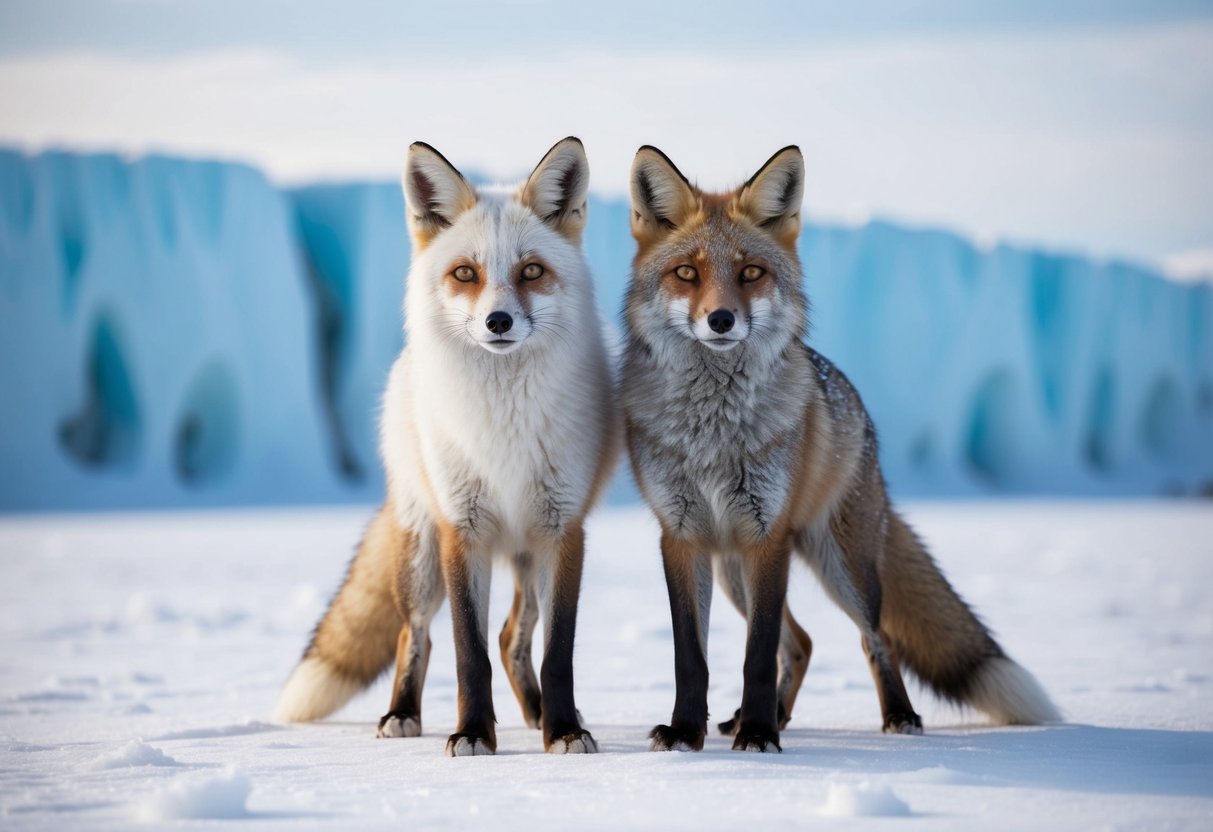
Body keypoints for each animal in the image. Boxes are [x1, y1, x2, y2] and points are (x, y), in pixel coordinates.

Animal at [273, 137, 617, 756]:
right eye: (465, 273)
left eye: (532, 271)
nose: (498, 321)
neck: (504, 427)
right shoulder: (463, 527)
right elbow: (466, 653)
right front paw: (473, 733)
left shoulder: (563, 530)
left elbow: (556, 655)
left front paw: (564, 730)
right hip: (421, 553)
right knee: (416, 636)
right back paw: (401, 714)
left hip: (526, 556)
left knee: (511, 637)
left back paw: (538, 716)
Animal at [620, 144, 1060, 753]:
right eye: (687, 272)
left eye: (751, 272)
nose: (721, 319)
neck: (714, 432)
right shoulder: (681, 536)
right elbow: (693, 658)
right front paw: (688, 732)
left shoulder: (768, 536)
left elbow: (757, 657)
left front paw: (758, 737)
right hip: (733, 569)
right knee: (802, 643)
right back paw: (763, 716)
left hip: (839, 565)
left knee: (875, 639)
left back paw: (895, 716)